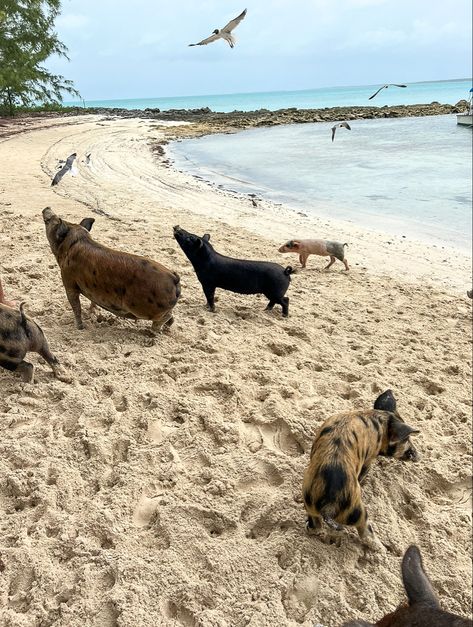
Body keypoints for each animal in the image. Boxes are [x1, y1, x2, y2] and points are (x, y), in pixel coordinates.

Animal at [42, 207, 180, 334]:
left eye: (49, 221)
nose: (47, 208)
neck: (70, 245)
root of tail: (174, 278)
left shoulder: (69, 282)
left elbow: (76, 307)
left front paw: (79, 328)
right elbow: (92, 301)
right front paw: (91, 313)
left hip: (145, 309)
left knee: (165, 317)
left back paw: (153, 332)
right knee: (170, 316)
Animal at [300, 390, 418, 548]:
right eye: (406, 440)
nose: (417, 455)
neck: (380, 424)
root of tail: (328, 505)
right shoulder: (369, 458)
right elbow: (363, 473)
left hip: (310, 504)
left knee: (316, 526)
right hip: (357, 510)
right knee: (366, 533)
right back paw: (381, 548)